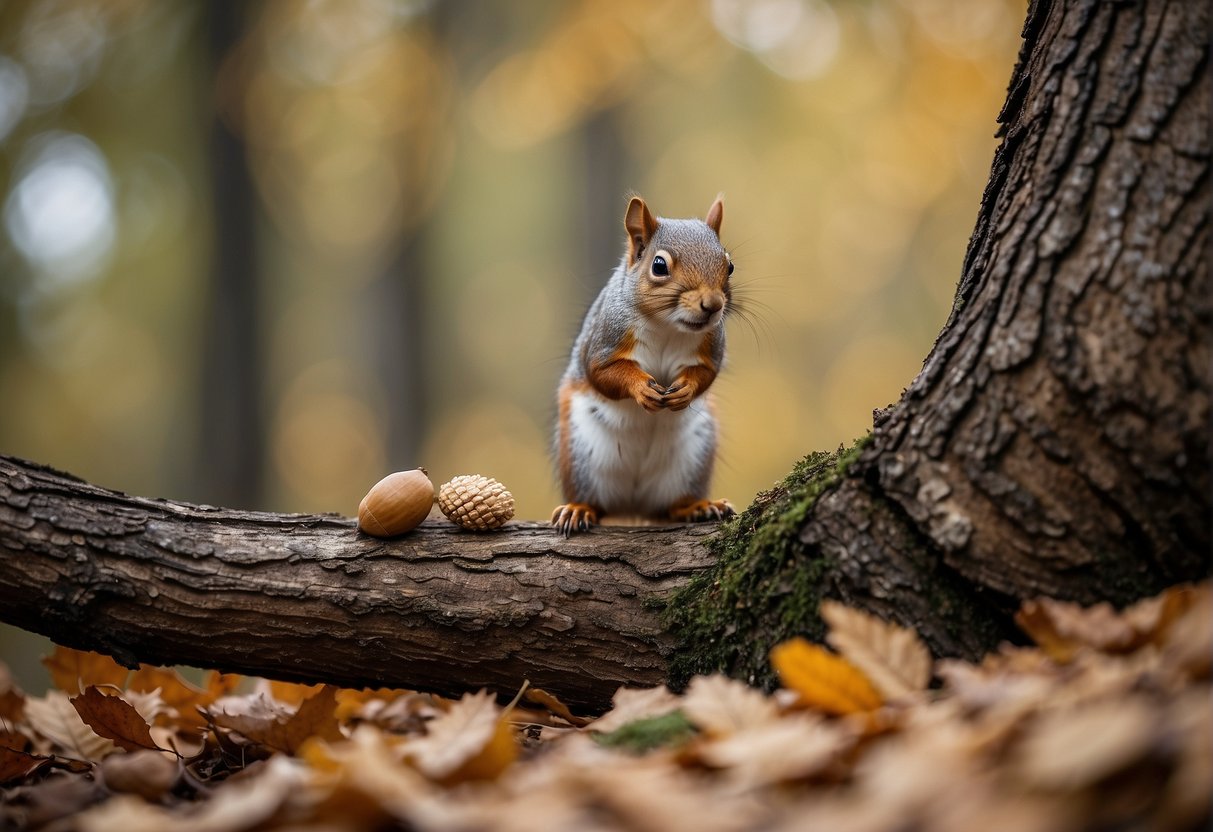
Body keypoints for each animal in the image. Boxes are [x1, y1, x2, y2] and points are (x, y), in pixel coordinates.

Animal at [553, 195, 737, 533]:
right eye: (659, 266)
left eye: (729, 266)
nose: (713, 305)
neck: (667, 326)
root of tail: (633, 505)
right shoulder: (604, 341)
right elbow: (601, 373)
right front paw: (641, 388)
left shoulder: (712, 347)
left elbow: (707, 373)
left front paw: (685, 389)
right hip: (580, 453)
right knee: (593, 500)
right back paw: (578, 508)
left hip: (693, 456)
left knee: (673, 505)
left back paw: (698, 506)